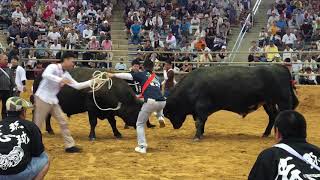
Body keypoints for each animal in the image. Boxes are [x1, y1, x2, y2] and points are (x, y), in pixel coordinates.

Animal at [164, 64, 298, 139]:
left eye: (169, 114)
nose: (175, 127)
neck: (191, 86)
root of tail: (280, 67)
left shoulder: (201, 107)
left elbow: (199, 122)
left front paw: (197, 136)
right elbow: (202, 122)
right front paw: (201, 133)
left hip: (282, 101)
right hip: (268, 103)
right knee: (273, 116)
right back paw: (266, 133)